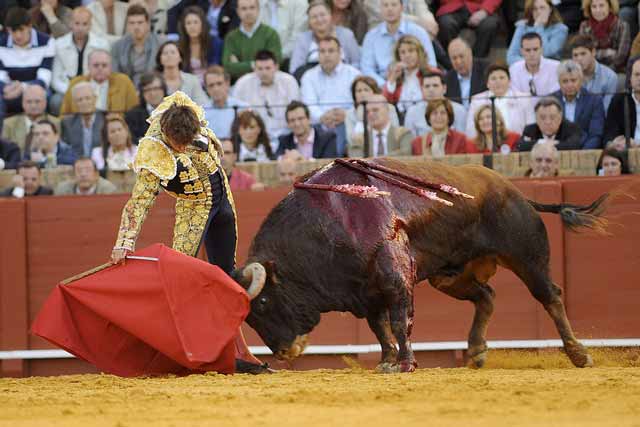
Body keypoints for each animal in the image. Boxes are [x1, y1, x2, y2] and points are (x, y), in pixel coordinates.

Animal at [232, 159, 608, 372]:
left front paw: (405, 363)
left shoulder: (394, 278)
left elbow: (400, 322)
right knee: (486, 296)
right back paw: (475, 352)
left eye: (262, 303)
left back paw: (579, 355)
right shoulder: (365, 290)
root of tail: (515, 191)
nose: (283, 352)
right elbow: (378, 327)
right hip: (451, 275)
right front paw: (386, 361)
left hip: (526, 256)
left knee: (551, 296)